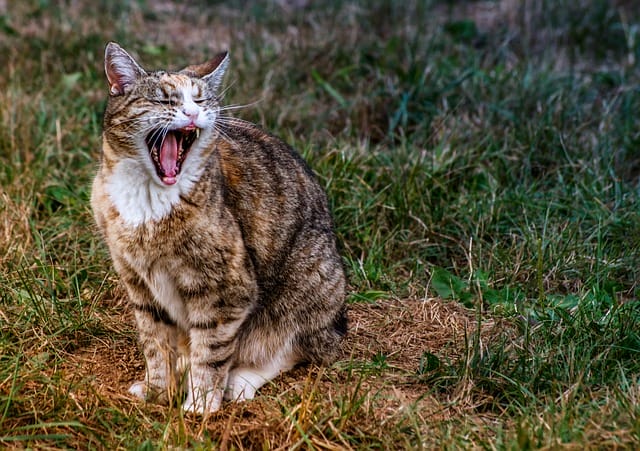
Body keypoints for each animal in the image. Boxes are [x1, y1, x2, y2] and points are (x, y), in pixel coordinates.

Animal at [91, 42, 344, 414]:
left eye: (200, 100)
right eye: (165, 100)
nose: (192, 113)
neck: (149, 196)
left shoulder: (226, 291)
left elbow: (212, 350)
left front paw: (199, 405)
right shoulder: (139, 285)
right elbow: (155, 344)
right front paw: (157, 390)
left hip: (309, 283)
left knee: (293, 347)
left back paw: (238, 381)